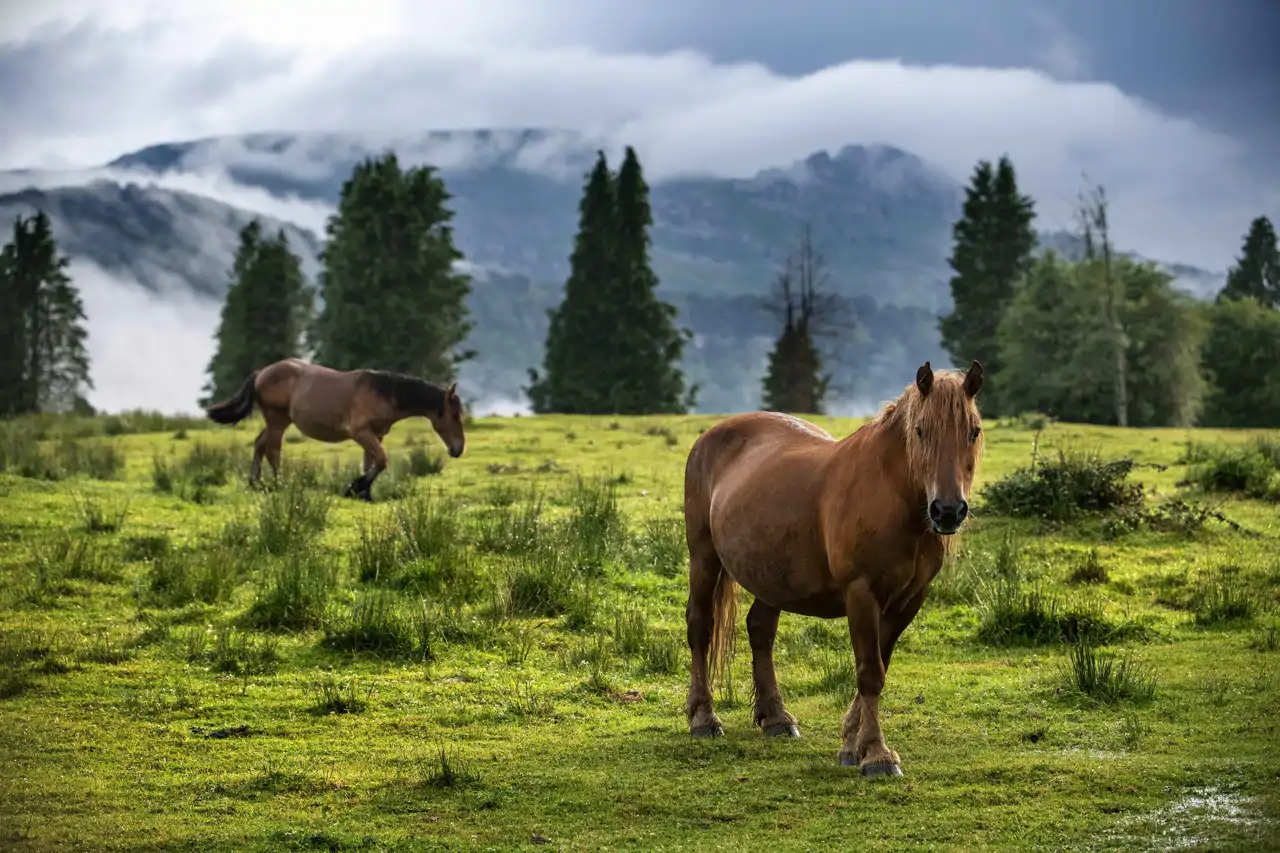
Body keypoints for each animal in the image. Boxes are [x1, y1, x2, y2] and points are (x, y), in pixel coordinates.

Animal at [203, 358, 466, 501]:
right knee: (273, 450)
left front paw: (365, 495)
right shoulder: (360, 432)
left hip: (278, 421)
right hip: (277, 420)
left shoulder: (376, 434)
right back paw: (280, 485)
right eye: (454, 415)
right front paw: (354, 487)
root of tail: (261, 373)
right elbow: (381, 460)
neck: (382, 393)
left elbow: (371, 463)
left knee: (259, 443)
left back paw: (255, 482)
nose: (458, 449)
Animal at [681, 359, 984, 778]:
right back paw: (704, 718)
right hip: (704, 556)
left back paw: (776, 718)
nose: (948, 511)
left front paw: (853, 744)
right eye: (921, 431)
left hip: (771, 575)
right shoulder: (861, 594)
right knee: (701, 626)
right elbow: (870, 673)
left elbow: (878, 666)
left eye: (974, 431)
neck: (892, 497)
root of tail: (710, 436)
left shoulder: (908, 601)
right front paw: (877, 755)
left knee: (760, 630)